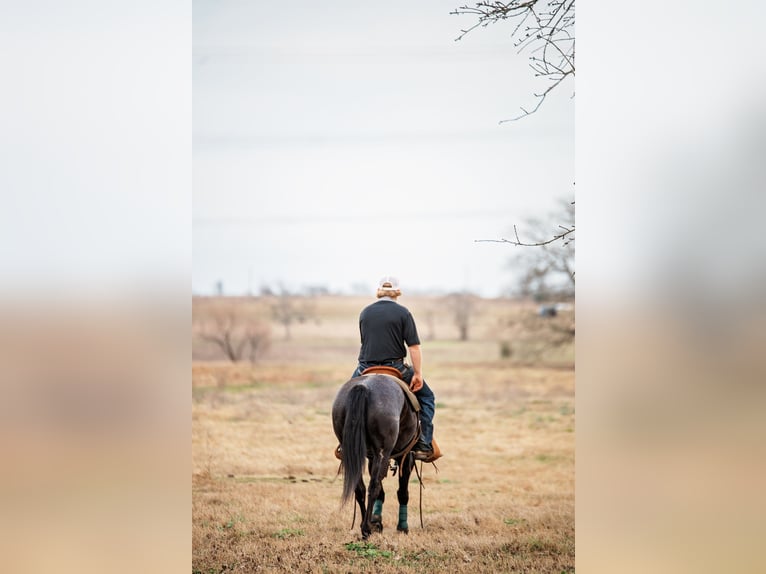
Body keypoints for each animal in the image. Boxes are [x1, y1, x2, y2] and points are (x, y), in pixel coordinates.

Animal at [332, 373, 420, 539]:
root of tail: (363, 387)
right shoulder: (406, 456)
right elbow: (402, 492)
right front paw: (402, 527)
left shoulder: (371, 458)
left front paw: (377, 521)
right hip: (382, 452)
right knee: (373, 486)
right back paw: (366, 528)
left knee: (360, 488)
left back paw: (365, 525)